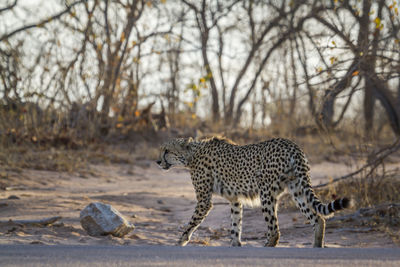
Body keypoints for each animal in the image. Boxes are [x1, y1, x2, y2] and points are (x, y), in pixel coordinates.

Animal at [157, 138, 350, 249]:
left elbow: (192, 222)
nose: (157, 161)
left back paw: (267, 245)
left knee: (274, 229)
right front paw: (235, 244)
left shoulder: (204, 200)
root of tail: (290, 144)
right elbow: (236, 223)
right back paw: (317, 246)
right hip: (297, 189)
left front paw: (180, 241)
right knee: (318, 219)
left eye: (167, 150)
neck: (192, 153)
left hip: (266, 192)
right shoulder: (235, 199)